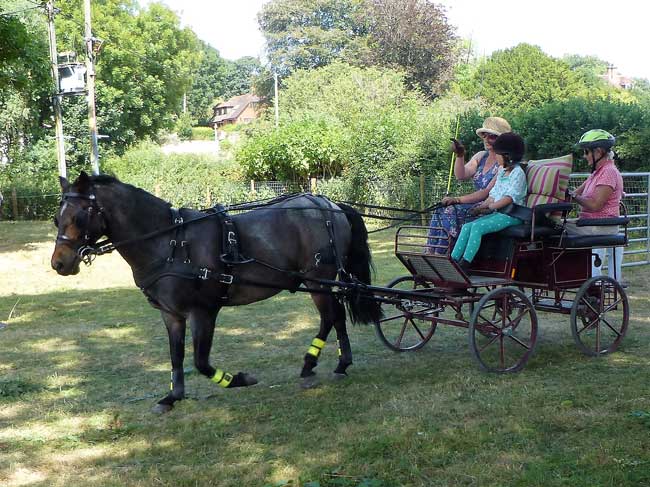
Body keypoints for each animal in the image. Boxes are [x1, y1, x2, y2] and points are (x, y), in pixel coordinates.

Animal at [53, 173, 382, 414]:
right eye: (57, 219)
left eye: (79, 217)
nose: (59, 263)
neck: (170, 242)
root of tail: (327, 203)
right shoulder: (171, 315)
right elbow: (175, 356)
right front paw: (172, 397)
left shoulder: (203, 312)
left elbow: (201, 361)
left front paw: (238, 379)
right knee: (336, 316)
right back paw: (338, 364)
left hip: (319, 280)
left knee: (330, 316)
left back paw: (313, 364)